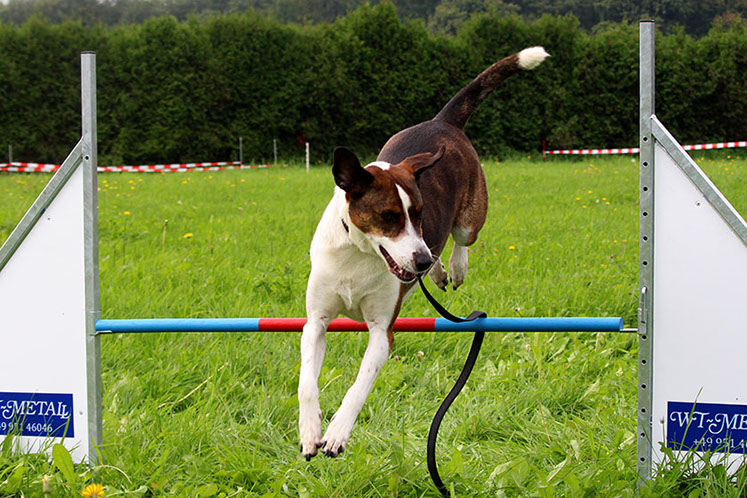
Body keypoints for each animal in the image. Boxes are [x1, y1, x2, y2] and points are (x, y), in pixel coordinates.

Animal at [298, 46, 549, 459]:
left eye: (419, 213)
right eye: (389, 217)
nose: (421, 261)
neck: (359, 257)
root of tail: (441, 122)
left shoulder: (382, 330)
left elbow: (359, 385)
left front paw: (336, 433)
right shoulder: (316, 320)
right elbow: (306, 380)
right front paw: (309, 430)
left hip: (471, 214)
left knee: (461, 237)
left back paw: (453, 268)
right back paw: (438, 273)